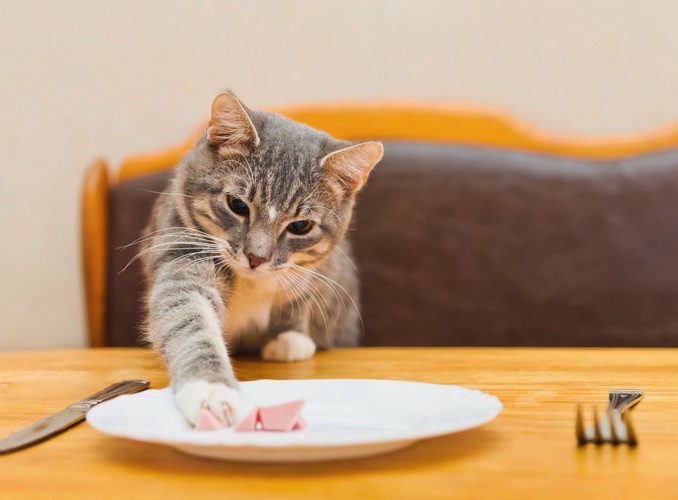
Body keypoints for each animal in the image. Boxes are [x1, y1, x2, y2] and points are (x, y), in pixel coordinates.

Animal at [139, 91, 382, 426]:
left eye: (300, 226)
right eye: (238, 204)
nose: (256, 257)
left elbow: (300, 296)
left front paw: (289, 337)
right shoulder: (182, 250)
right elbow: (189, 319)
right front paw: (210, 390)